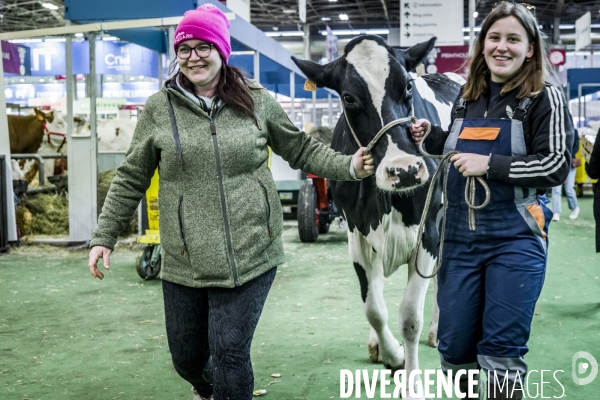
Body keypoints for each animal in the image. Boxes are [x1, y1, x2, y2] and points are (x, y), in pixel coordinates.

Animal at [292, 35, 462, 394]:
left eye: (408, 85)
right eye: (348, 97)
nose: (405, 170)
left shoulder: (428, 231)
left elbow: (409, 316)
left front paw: (412, 384)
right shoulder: (356, 234)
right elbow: (373, 306)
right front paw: (392, 354)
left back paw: (437, 332)